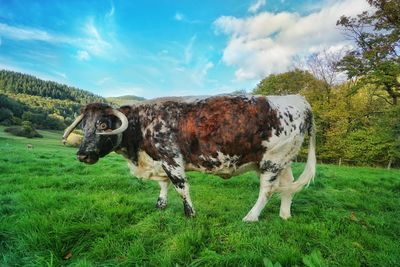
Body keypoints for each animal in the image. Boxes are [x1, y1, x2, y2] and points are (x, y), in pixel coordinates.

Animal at [62, 94, 316, 222]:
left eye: (104, 125)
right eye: (84, 126)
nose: (82, 154)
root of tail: (299, 100)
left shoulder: (171, 157)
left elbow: (180, 187)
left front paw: (190, 214)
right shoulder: (159, 161)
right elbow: (163, 185)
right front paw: (160, 206)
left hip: (272, 161)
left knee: (267, 191)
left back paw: (251, 217)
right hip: (284, 161)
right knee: (288, 186)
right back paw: (285, 215)